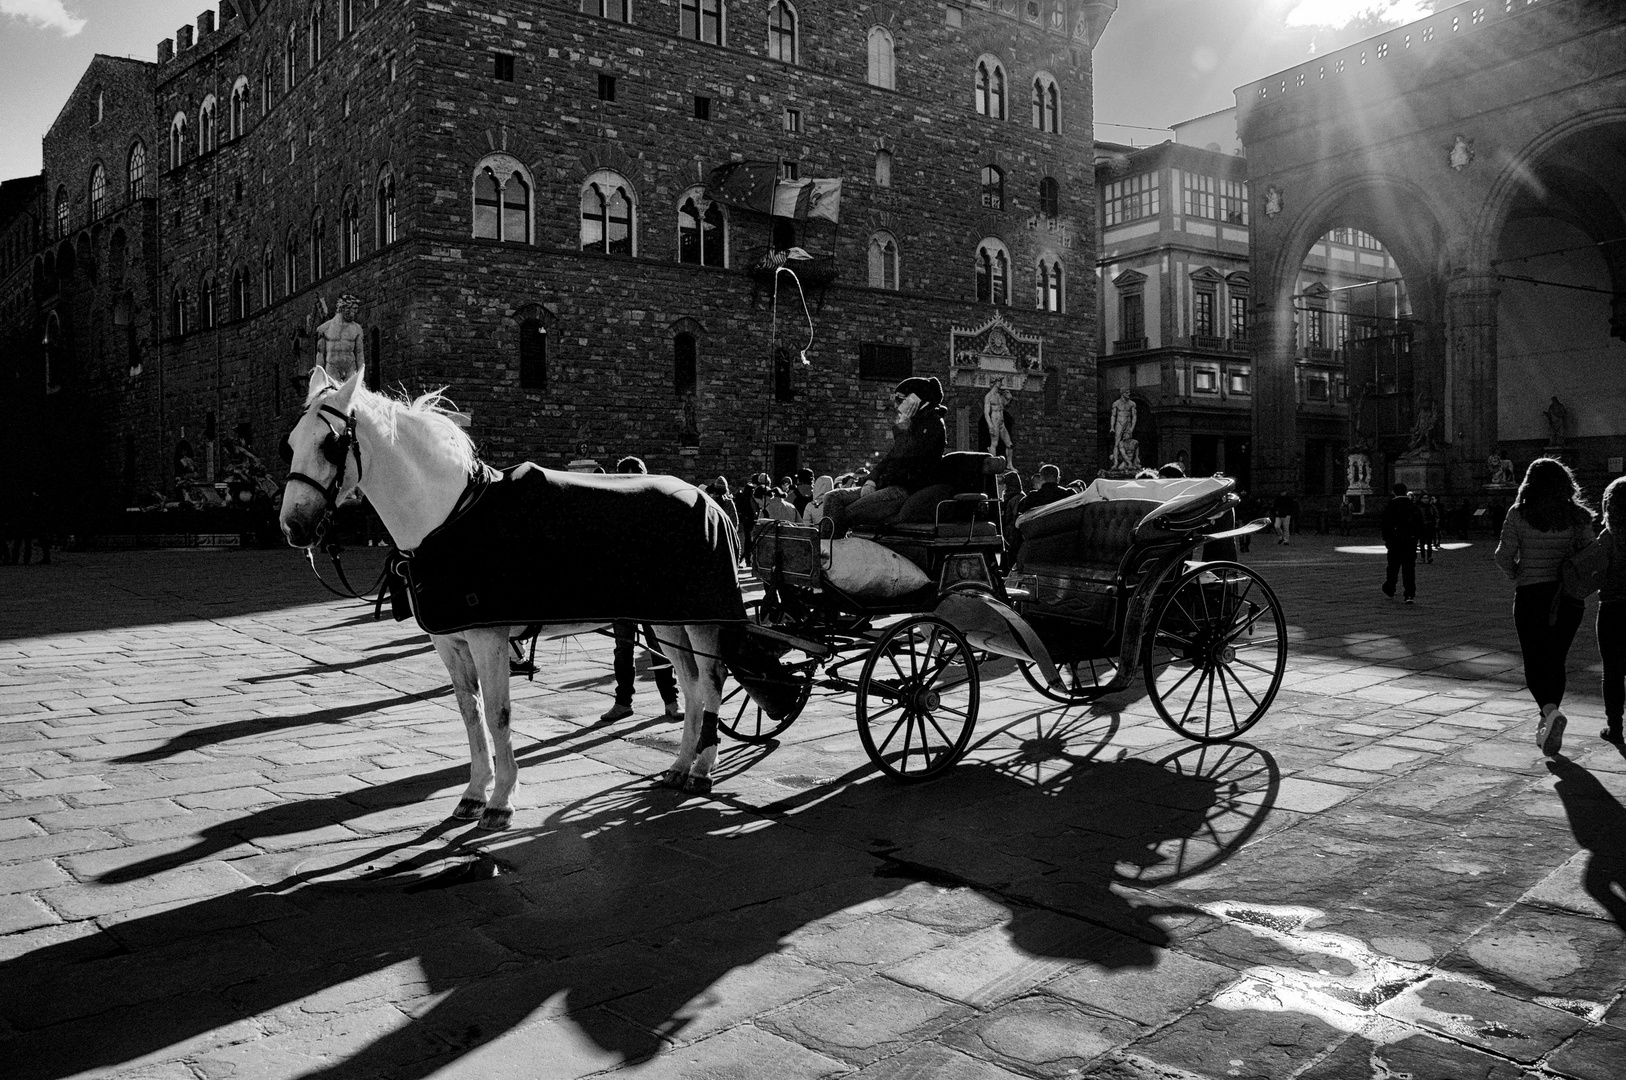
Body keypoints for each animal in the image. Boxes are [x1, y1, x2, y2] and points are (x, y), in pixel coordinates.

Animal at [281, 367, 731, 829]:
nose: (293, 525)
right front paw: (475, 792)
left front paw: (500, 799)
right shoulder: (449, 641)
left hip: (702, 616)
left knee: (711, 679)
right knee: (691, 682)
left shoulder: (489, 637)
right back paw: (682, 764)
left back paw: (702, 769)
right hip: (666, 617)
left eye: (331, 443)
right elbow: (471, 713)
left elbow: (498, 714)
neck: (447, 518)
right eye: (291, 444)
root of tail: (707, 497)